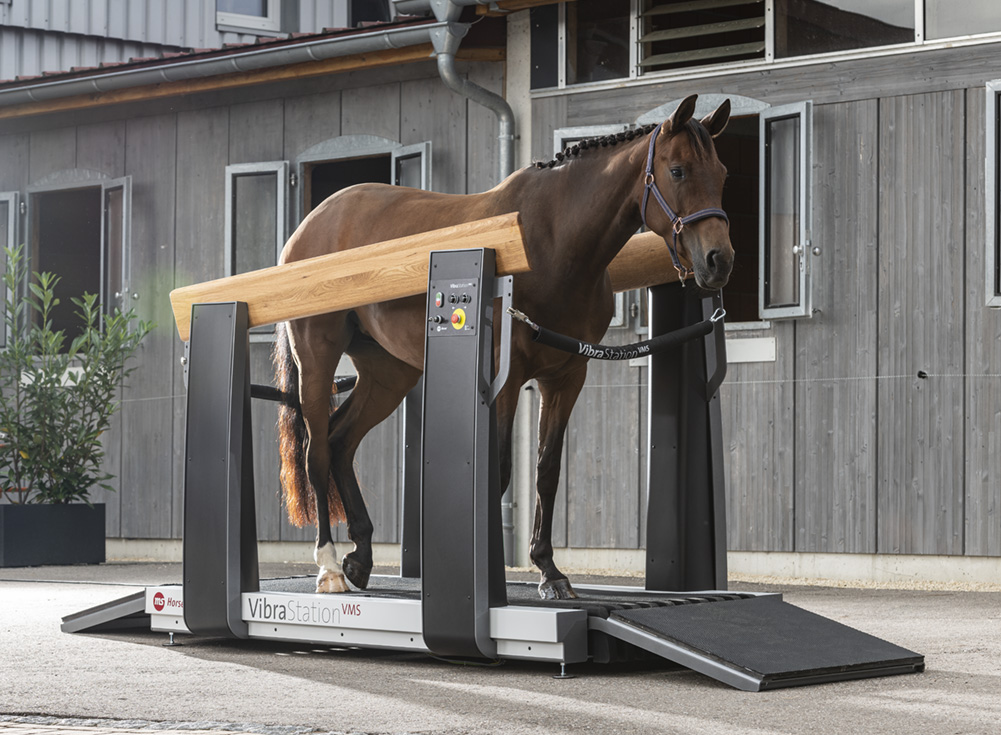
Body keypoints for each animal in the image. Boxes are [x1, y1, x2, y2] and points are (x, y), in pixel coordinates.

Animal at [273, 94, 734, 600]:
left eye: (722, 173)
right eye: (678, 171)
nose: (720, 260)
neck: (549, 241)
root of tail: (309, 226)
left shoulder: (566, 377)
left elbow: (546, 470)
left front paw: (550, 571)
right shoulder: (506, 379)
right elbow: (499, 469)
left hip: (388, 373)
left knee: (341, 441)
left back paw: (360, 558)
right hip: (317, 357)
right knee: (317, 452)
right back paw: (329, 567)